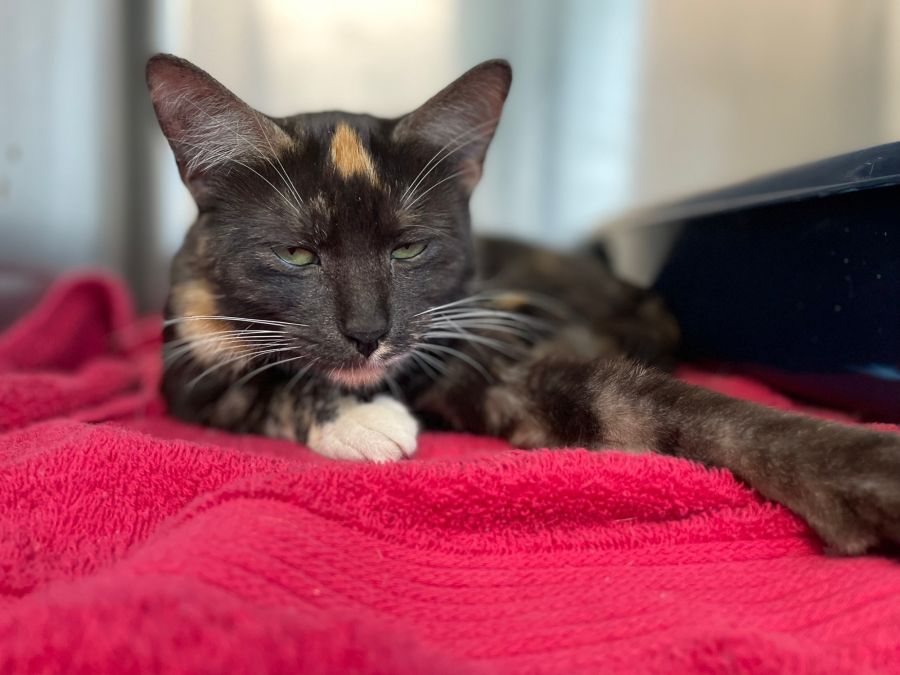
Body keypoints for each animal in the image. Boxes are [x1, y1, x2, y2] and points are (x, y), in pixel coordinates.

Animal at [146, 54, 900, 556]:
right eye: (296, 254)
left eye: (410, 249)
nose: (368, 332)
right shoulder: (188, 365)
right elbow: (262, 381)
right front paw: (364, 421)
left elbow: (662, 409)